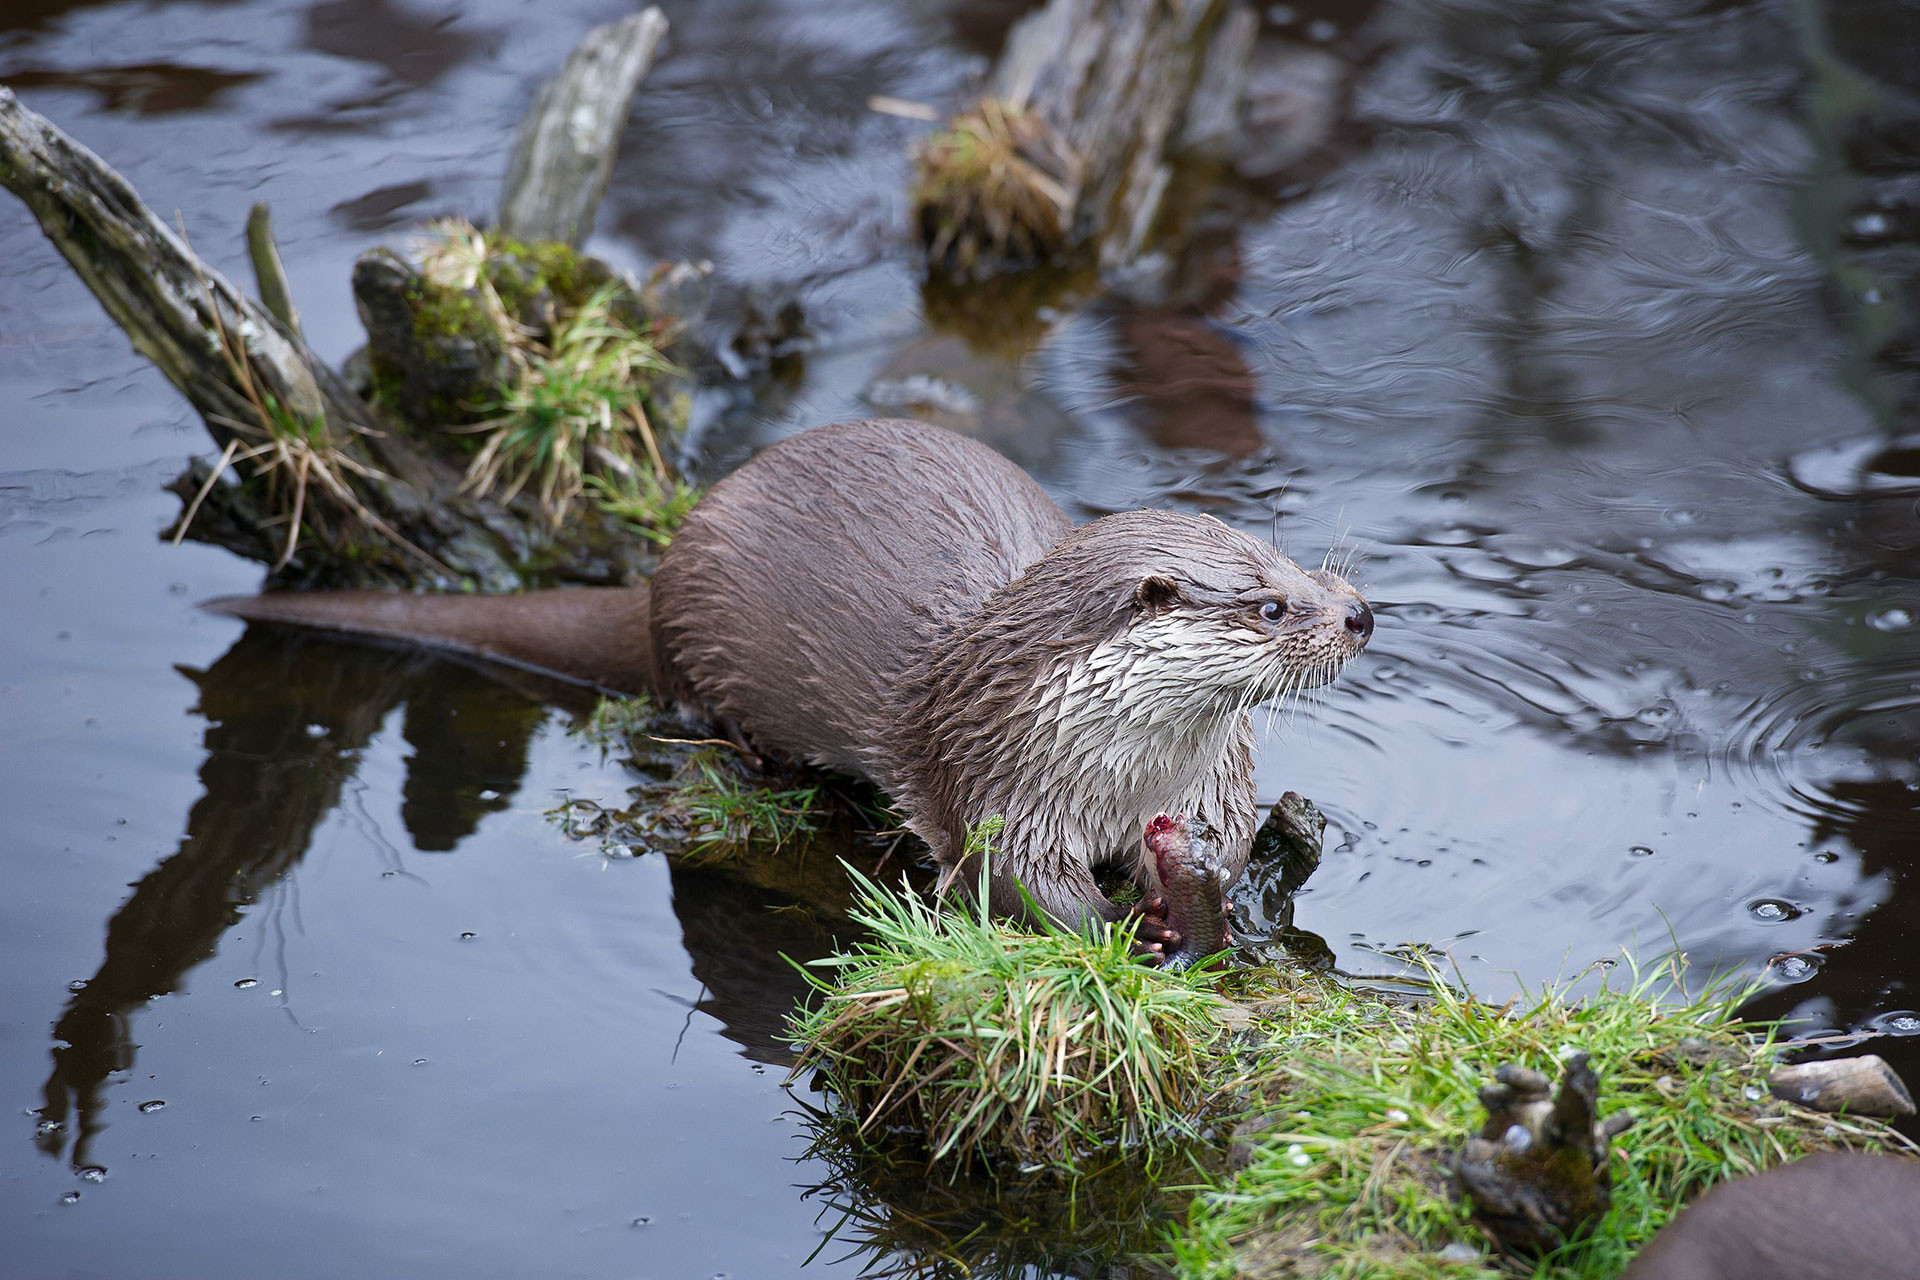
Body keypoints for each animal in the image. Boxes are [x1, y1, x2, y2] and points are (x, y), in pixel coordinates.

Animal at [215, 418, 1372, 941]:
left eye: (1299, 569)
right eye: (1270, 606)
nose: (1360, 611)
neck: (1121, 771)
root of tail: (659, 574)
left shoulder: (1207, 780)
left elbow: (1227, 847)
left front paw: (1200, 889)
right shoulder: (998, 782)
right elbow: (1022, 887)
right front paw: (1128, 926)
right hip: (698, 640)